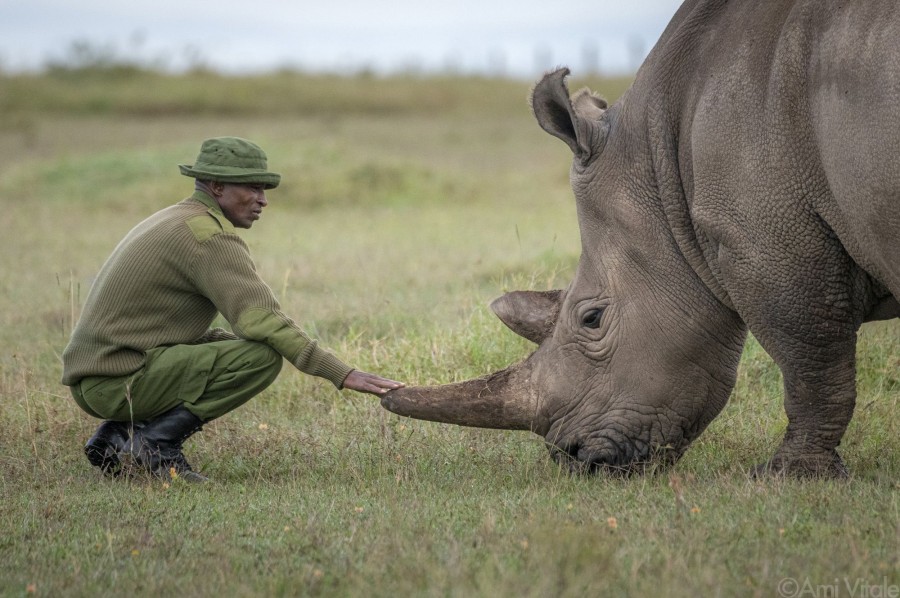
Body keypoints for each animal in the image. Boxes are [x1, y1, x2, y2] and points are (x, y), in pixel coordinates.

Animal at [382, 0, 900, 477]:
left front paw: (790, 475)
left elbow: (810, 359)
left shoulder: (774, 240)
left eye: (591, 319)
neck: (661, 164)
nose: (571, 458)